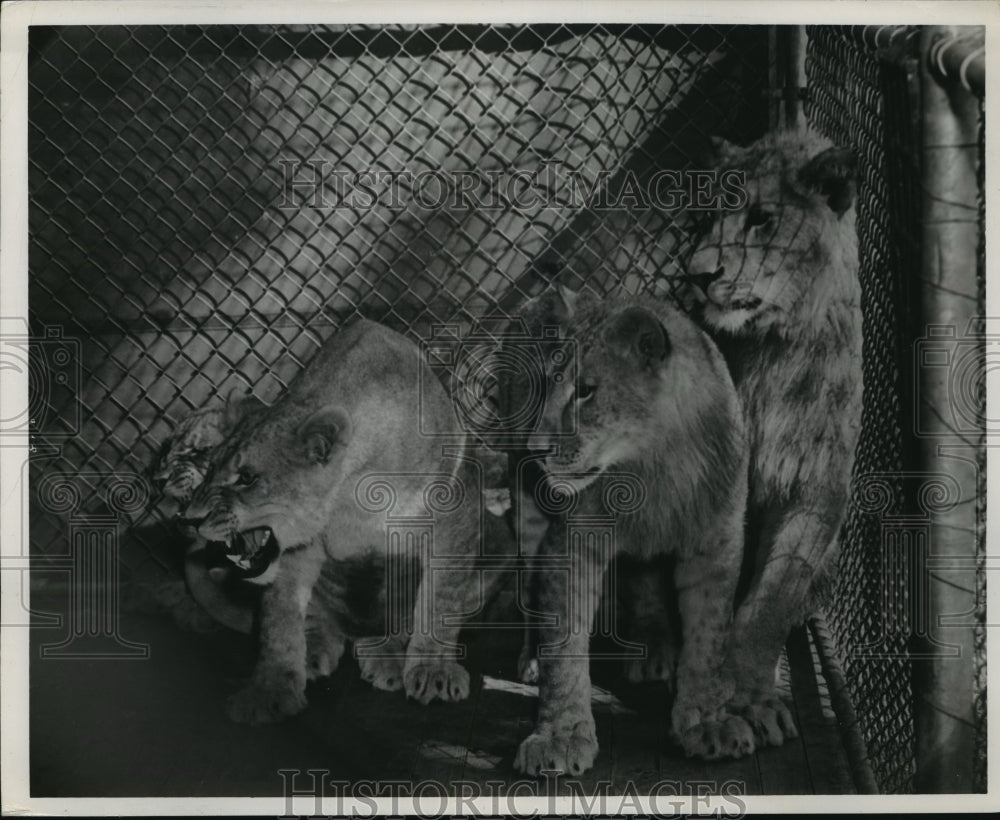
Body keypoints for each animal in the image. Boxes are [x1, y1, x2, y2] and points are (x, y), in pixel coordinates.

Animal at [184, 318, 496, 724]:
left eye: (247, 478)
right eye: (210, 469)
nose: (189, 519)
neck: (349, 492)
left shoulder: (458, 512)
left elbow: (440, 598)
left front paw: (432, 670)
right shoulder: (300, 548)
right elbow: (280, 616)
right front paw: (272, 686)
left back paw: (386, 654)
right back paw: (317, 649)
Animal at [512, 288, 752, 776]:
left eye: (585, 391)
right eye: (546, 385)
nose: (536, 449)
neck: (654, 465)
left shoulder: (716, 543)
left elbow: (709, 638)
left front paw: (706, 722)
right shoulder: (571, 543)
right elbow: (564, 646)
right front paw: (561, 736)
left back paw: (655, 648)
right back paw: (531, 660)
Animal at [680, 126, 868, 748]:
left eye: (762, 219)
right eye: (703, 218)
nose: (697, 273)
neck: (775, 352)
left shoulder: (816, 488)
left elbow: (769, 602)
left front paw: (751, 694)